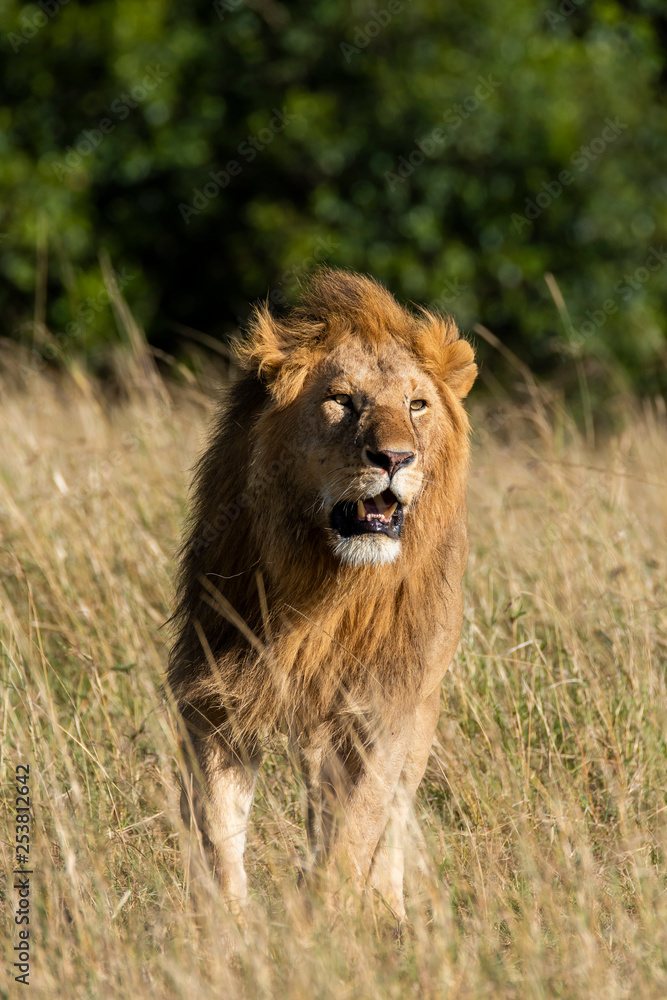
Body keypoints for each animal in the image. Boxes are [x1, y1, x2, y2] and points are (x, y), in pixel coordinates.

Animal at [168, 269, 476, 919]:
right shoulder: (218, 693)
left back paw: (387, 913)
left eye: (416, 404)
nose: (395, 458)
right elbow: (216, 831)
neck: (325, 584)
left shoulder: (382, 705)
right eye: (342, 400)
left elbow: (357, 828)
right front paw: (229, 928)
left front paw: (329, 924)